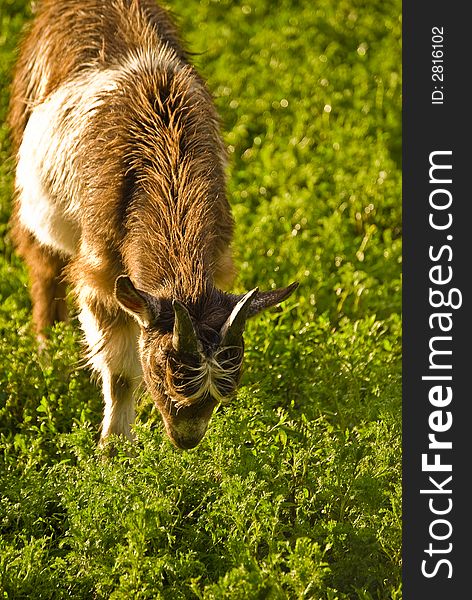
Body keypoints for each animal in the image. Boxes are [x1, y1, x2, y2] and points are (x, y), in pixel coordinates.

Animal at [9, 0, 296, 450]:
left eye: (227, 390)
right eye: (165, 374)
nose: (186, 439)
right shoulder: (100, 270)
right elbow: (120, 371)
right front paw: (114, 448)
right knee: (42, 263)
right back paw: (45, 352)